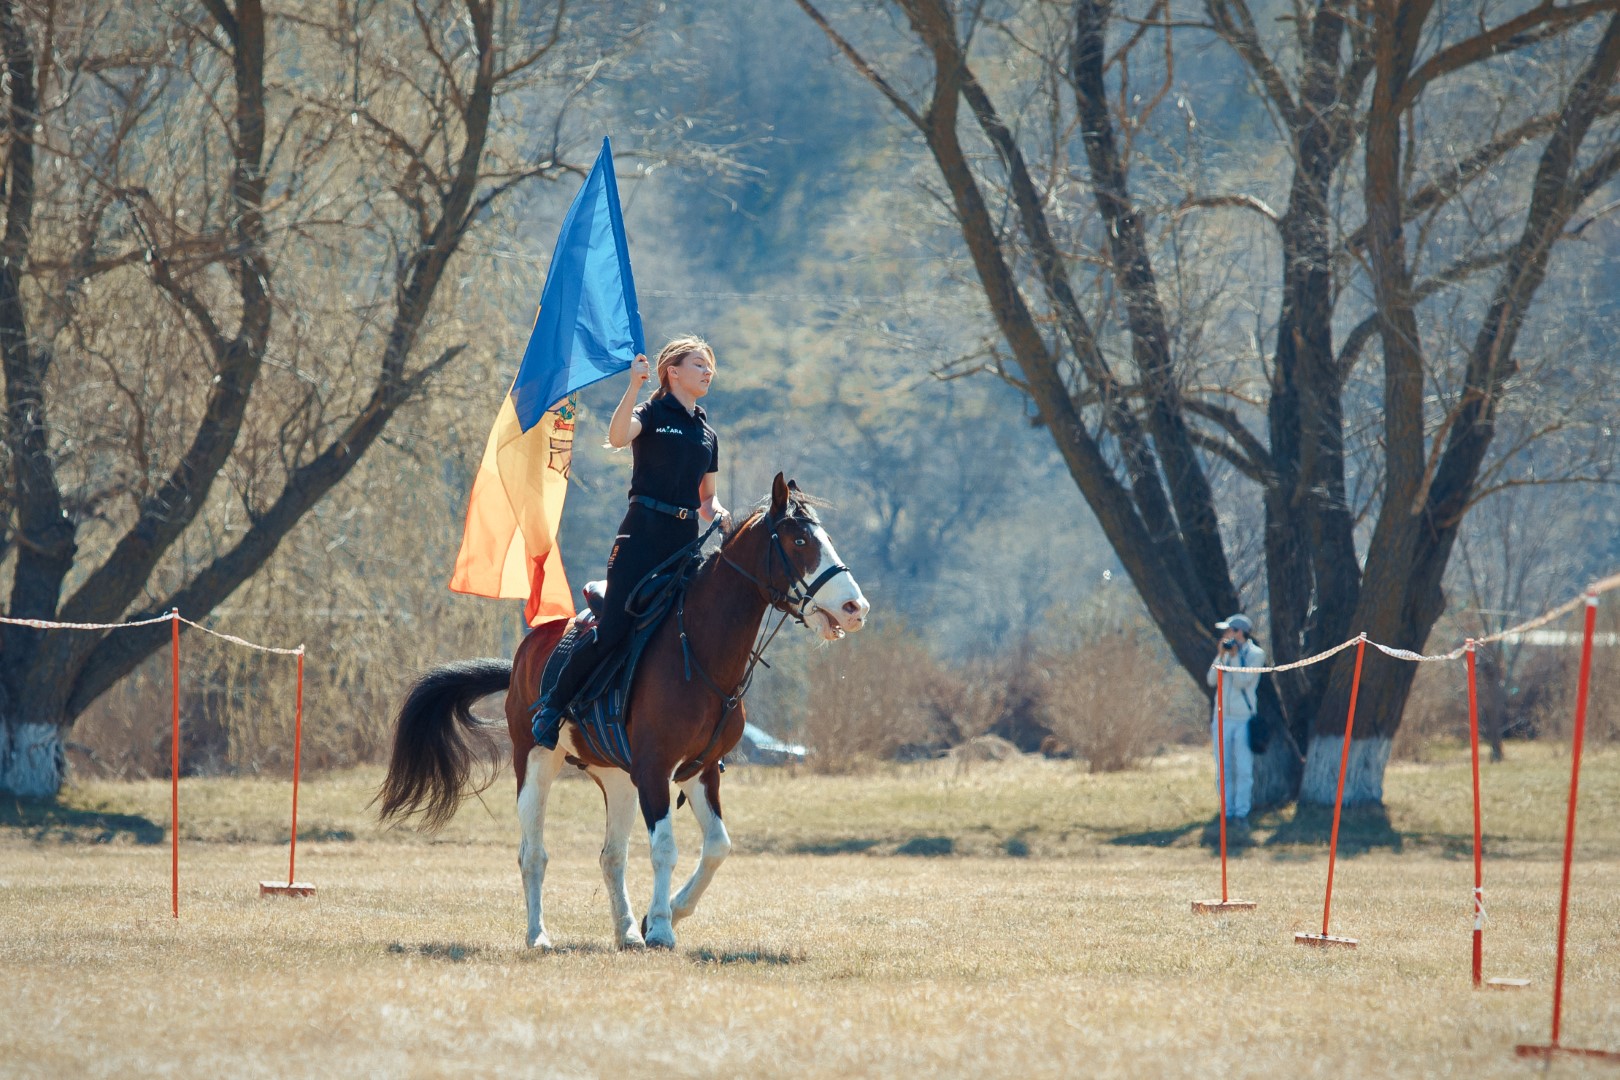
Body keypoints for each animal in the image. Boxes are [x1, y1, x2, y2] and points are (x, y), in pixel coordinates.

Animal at [376, 473, 869, 950]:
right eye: (799, 541)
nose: (855, 607)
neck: (698, 651)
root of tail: (525, 654)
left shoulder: (699, 770)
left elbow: (717, 847)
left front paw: (661, 916)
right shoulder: (655, 769)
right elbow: (665, 848)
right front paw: (662, 929)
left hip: (618, 778)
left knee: (612, 856)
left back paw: (627, 931)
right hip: (535, 760)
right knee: (533, 854)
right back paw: (539, 935)